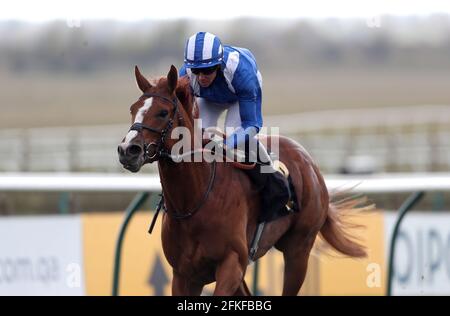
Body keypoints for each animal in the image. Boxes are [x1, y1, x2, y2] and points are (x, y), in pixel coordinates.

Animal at [117, 65, 366, 296]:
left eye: (163, 112)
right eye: (132, 109)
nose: (127, 150)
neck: (194, 200)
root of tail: (309, 162)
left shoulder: (232, 264)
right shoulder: (184, 275)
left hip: (299, 249)